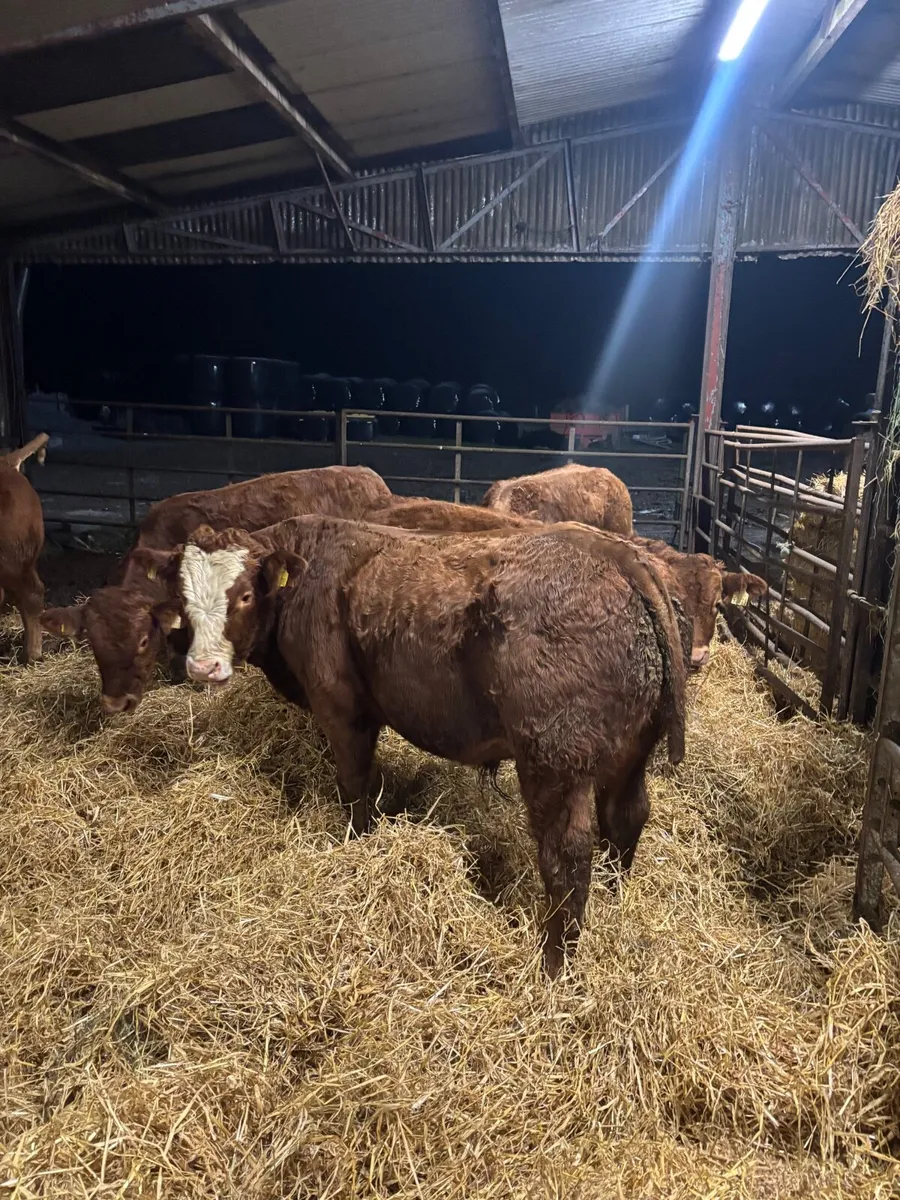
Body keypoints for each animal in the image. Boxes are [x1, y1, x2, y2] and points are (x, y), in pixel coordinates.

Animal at [151, 515, 686, 977]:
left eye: (243, 595)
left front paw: (359, 848)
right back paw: (614, 905)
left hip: (555, 762)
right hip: (630, 752)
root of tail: (617, 554)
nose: (202, 668)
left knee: (567, 856)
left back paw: (553, 966)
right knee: (625, 817)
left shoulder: (341, 709)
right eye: (182, 600)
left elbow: (355, 788)